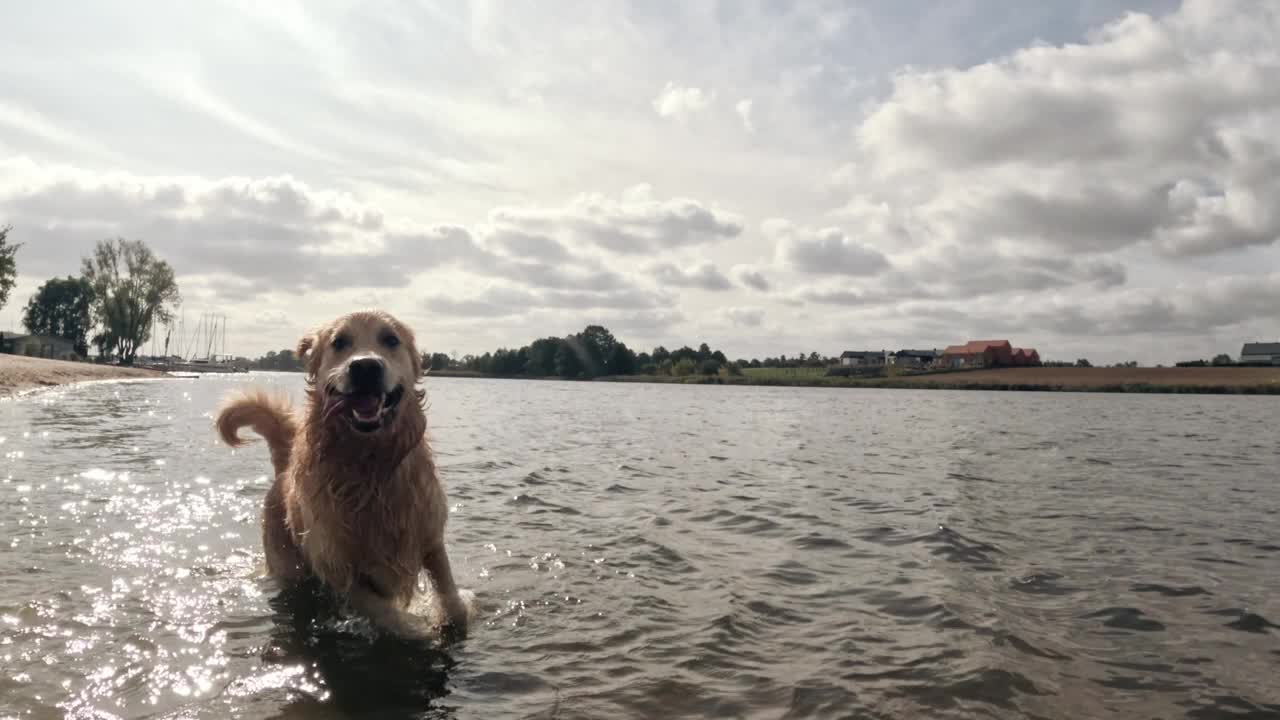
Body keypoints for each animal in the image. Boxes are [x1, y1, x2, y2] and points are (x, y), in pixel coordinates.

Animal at [215, 311, 476, 635]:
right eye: (339, 342)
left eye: (391, 339)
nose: (365, 366)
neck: (370, 466)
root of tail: (282, 470)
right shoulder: (336, 566)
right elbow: (387, 615)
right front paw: (418, 629)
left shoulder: (430, 536)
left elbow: (451, 596)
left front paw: (452, 615)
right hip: (289, 567)